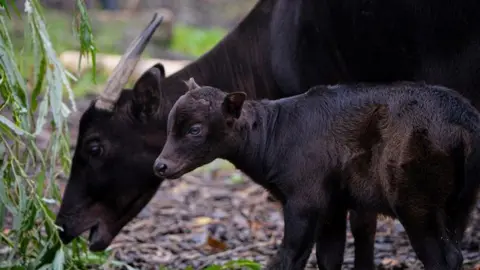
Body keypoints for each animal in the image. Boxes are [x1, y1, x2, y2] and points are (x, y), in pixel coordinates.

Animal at [154, 79, 480, 270]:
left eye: (195, 130)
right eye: (169, 125)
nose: (160, 166)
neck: (273, 136)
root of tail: (464, 120)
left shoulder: (304, 201)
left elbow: (290, 255)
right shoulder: (333, 206)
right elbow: (329, 257)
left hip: (414, 202)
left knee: (439, 258)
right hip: (459, 205)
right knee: (454, 255)